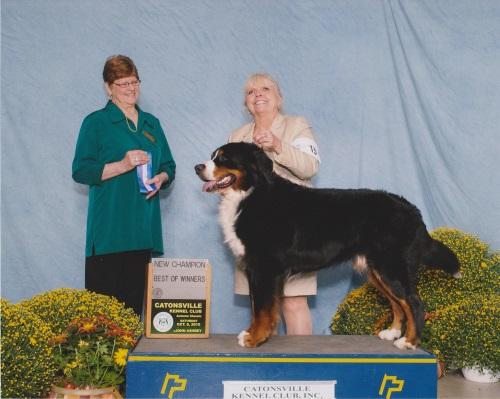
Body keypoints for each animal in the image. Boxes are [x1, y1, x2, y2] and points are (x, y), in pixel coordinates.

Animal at [193, 143, 458, 350]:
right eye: (213, 155)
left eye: (223, 158)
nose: (197, 167)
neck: (251, 193)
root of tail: (409, 207)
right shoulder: (255, 269)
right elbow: (255, 306)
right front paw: (251, 333)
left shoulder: (265, 267)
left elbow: (263, 308)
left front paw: (254, 339)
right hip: (377, 270)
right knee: (398, 303)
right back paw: (391, 334)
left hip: (391, 266)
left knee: (414, 303)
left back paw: (409, 342)